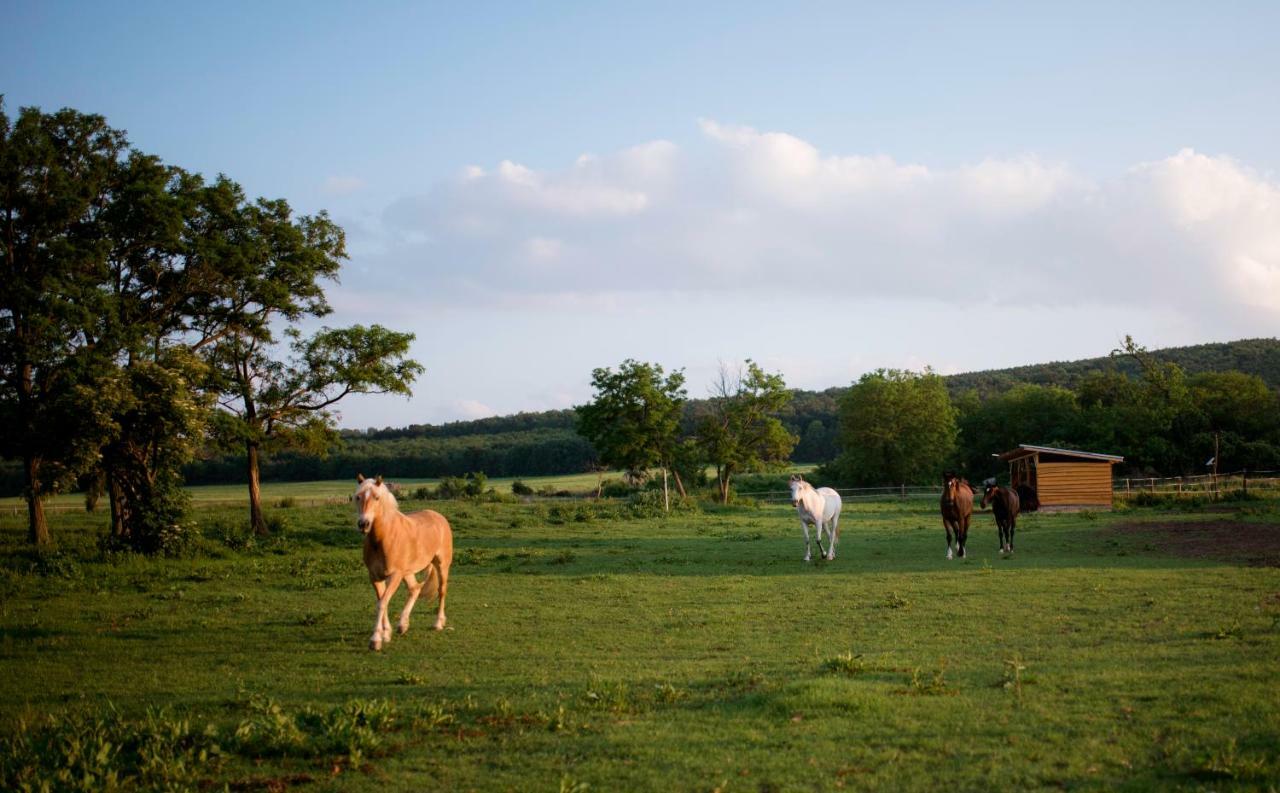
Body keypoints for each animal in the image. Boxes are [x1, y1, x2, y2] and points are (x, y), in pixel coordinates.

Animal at [353, 470, 453, 649]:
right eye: (358, 497)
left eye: (377, 497)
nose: (363, 524)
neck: (383, 539)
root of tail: (439, 517)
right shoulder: (375, 576)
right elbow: (382, 601)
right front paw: (386, 633)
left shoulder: (395, 575)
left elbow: (382, 603)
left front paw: (376, 639)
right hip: (408, 572)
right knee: (414, 589)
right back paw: (403, 624)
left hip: (441, 565)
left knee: (441, 591)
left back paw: (438, 623)